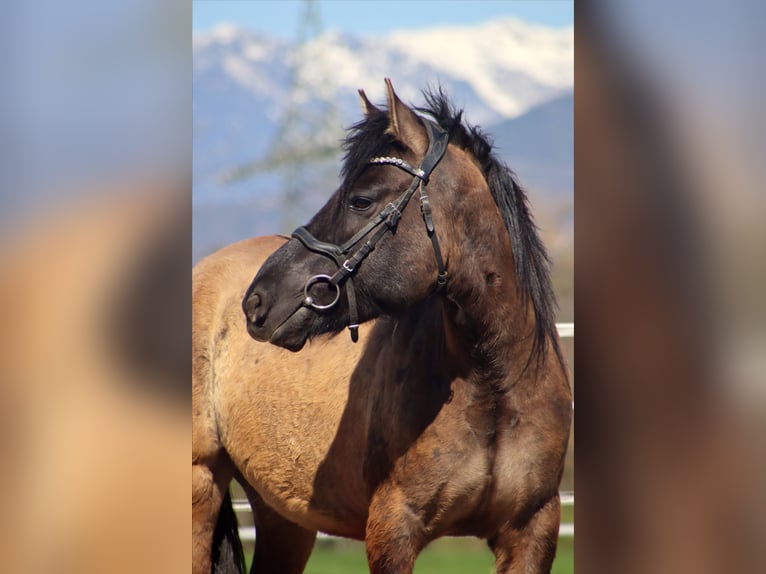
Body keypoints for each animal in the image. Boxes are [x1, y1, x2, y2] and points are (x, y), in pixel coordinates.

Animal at [192, 79, 572, 574]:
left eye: (361, 200)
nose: (257, 301)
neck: (495, 388)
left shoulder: (532, 533)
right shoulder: (393, 529)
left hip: (284, 518)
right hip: (201, 487)